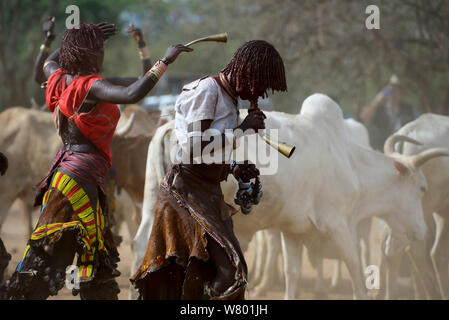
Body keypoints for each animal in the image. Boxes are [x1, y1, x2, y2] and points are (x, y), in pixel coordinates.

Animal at [131, 94, 442, 298]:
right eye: (422, 189)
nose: (421, 231)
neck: (350, 161)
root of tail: (169, 125)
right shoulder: (340, 226)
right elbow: (355, 270)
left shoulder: (293, 232)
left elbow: (293, 275)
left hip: (154, 201)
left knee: (144, 245)